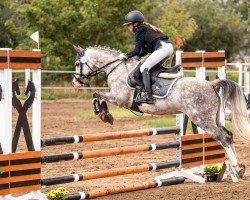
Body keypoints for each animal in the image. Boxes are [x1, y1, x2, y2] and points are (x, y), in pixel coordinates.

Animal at [73, 45, 250, 177]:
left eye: (77, 64)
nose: (75, 82)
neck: (117, 68)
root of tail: (211, 84)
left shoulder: (119, 98)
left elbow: (97, 94)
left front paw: (103, 113)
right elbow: (97, 94)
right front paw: (104, 113)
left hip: (202, 119)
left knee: (222, 137)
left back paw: (237, 167)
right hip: (214, 118)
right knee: (228, 135)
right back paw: (239, 168)